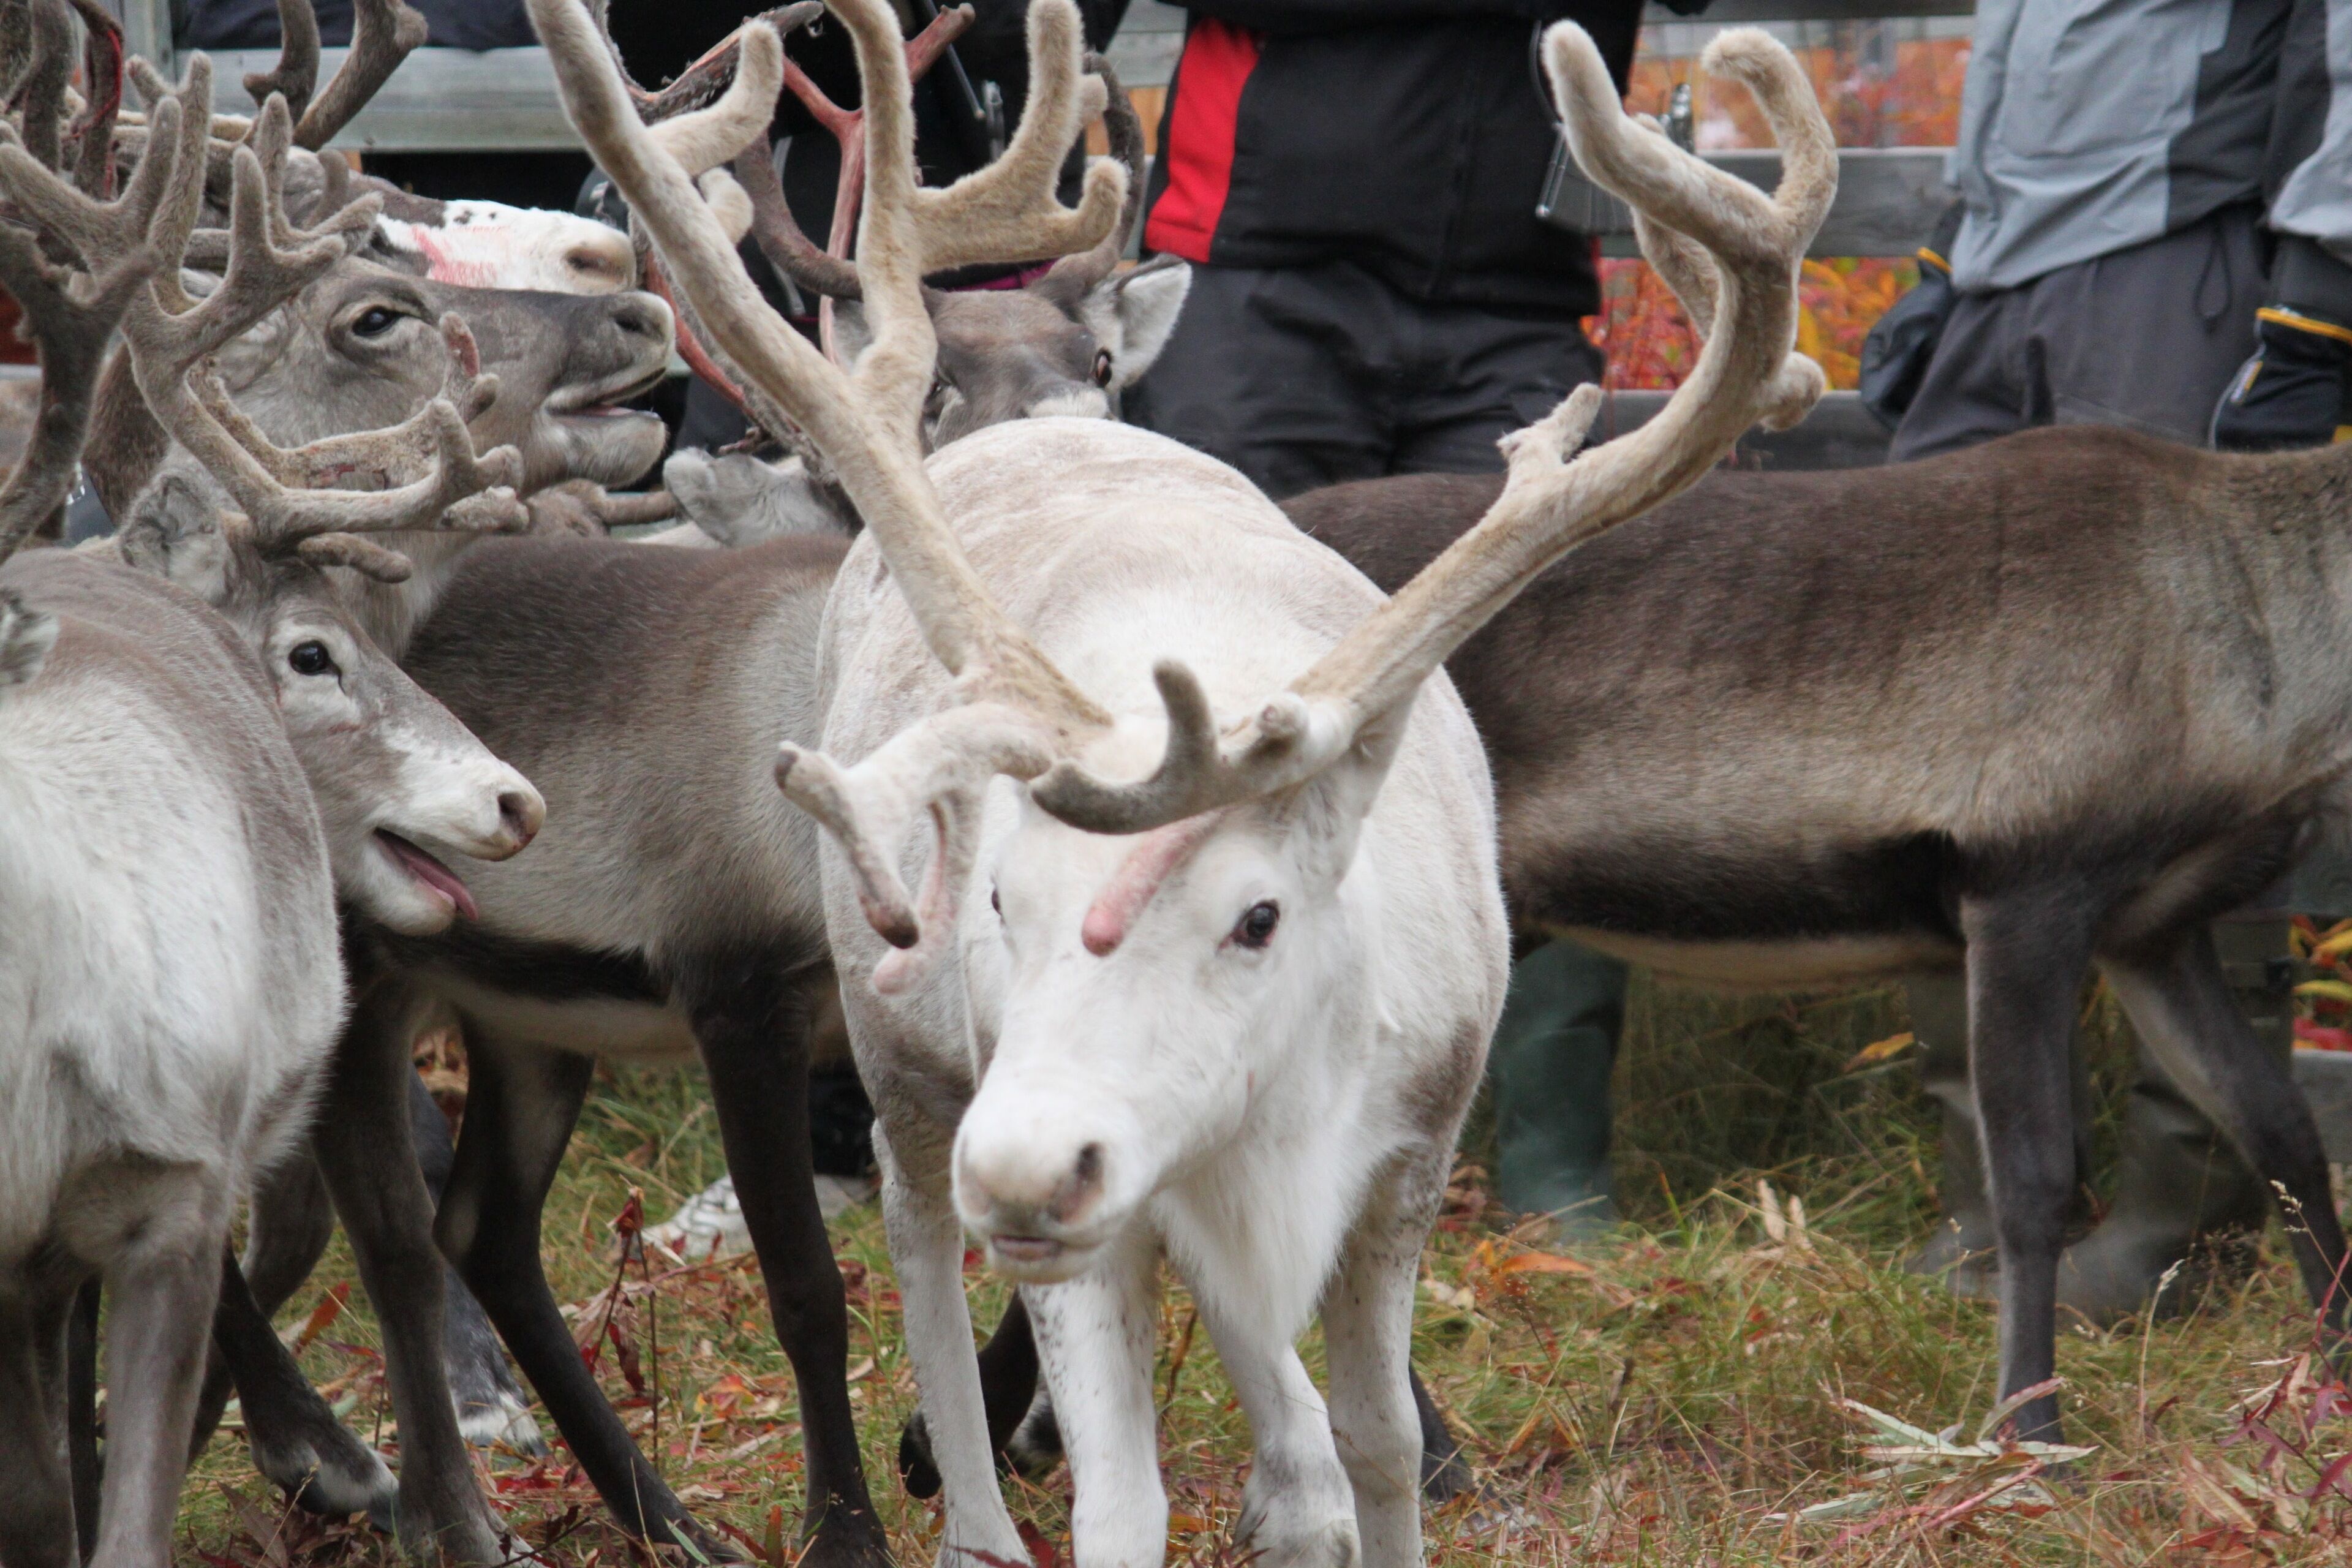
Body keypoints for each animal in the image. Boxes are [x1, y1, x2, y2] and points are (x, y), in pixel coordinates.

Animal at [539, 5, 1829, 1568]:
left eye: (1256, 915)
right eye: (1000, 900)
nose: (1028, 1168)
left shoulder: (1402, 1158)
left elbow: (1372, 1447)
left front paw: (1357, 1484)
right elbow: (1125, 1491)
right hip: (908, 1055)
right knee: (911, 1238)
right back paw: (970, 1507)